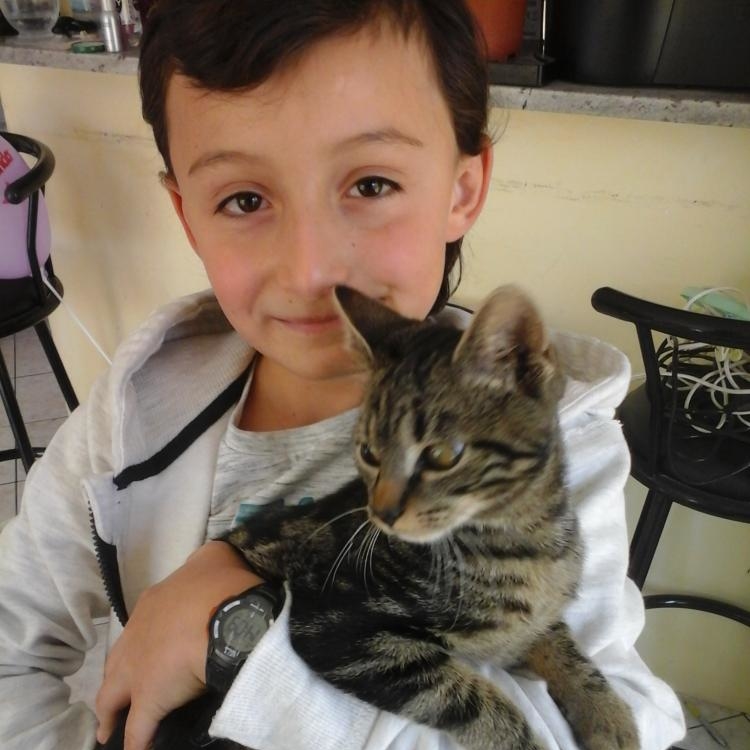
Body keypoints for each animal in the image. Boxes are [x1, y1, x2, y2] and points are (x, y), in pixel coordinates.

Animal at [101, 285, 638, 750]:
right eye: (368, 453)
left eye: (443, 455)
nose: (382, 512)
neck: (516, 538)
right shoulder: (338, 629)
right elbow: (470, 699)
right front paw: (523, 738)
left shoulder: (533, 622)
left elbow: (567, 647)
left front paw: (609, 714)